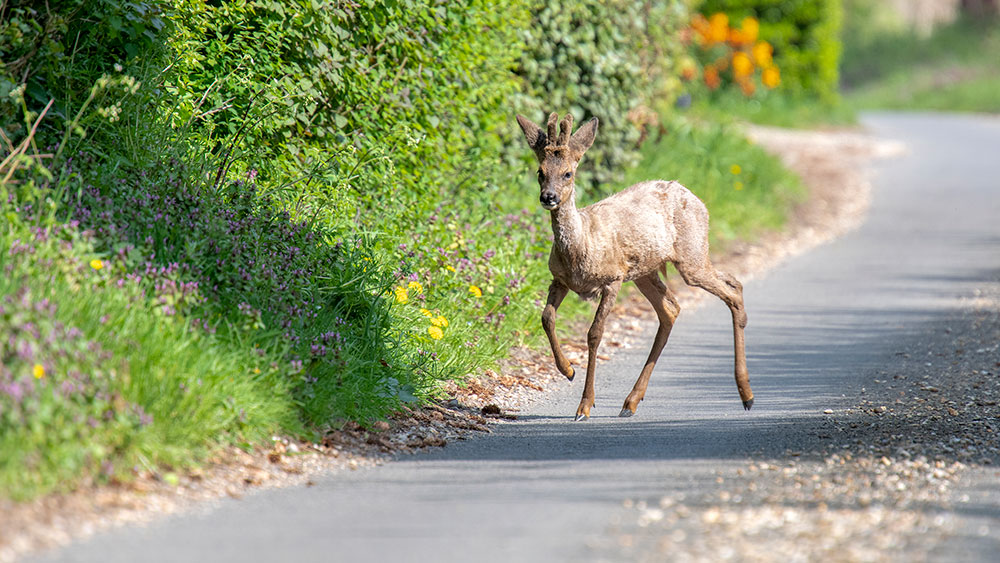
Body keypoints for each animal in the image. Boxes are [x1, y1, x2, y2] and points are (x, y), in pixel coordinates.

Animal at [520, 111, 752, 418]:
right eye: (540, 172)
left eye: (568, 173)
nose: (549, 197)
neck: (582, 246)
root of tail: (695, 197)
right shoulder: (559, 279)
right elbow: (546, 317)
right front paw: (568, 370)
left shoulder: (613, 278)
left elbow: (595, 333)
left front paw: (585, 405)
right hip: (646, 271)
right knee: (672, 308)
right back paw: (630, 401)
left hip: (692, 254)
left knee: (732, 289)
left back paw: (747, 395)